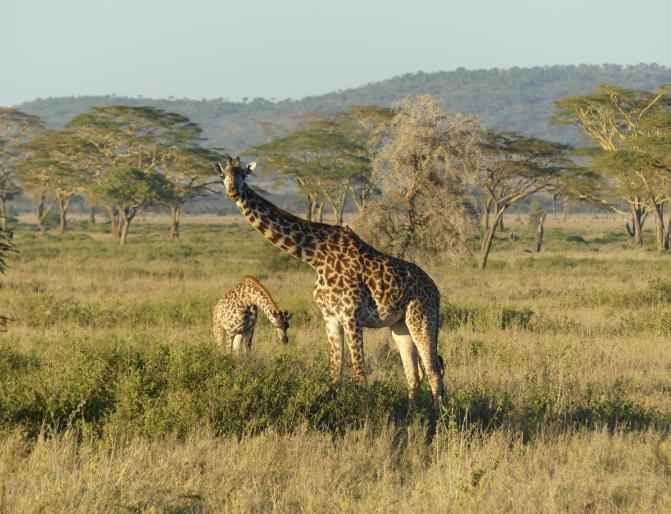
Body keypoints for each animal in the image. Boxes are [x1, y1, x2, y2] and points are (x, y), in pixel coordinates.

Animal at [217, 156, 446, 412]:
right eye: (222, 176)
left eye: (243, 175)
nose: (233, 192)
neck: (314, 256)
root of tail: (435, 289)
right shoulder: (330, 317)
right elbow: (336, 376)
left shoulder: (351, 316)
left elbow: (359, 376)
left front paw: (365, 417)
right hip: (400, 324)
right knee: (413, 374)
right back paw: (411, 418)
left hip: (423, 318)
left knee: (434, 369)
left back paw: (438, 419)